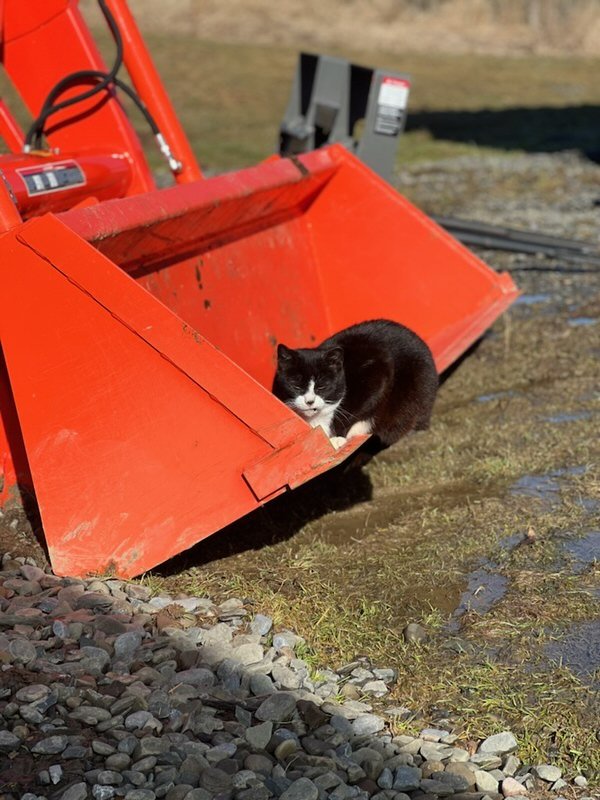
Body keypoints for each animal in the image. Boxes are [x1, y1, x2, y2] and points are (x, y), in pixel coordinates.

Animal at [274, 322, 438, 454]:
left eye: (322, 387)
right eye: (296, 386)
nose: (309, 402)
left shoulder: (378, 371)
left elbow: (354, 414)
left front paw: (337, 438)